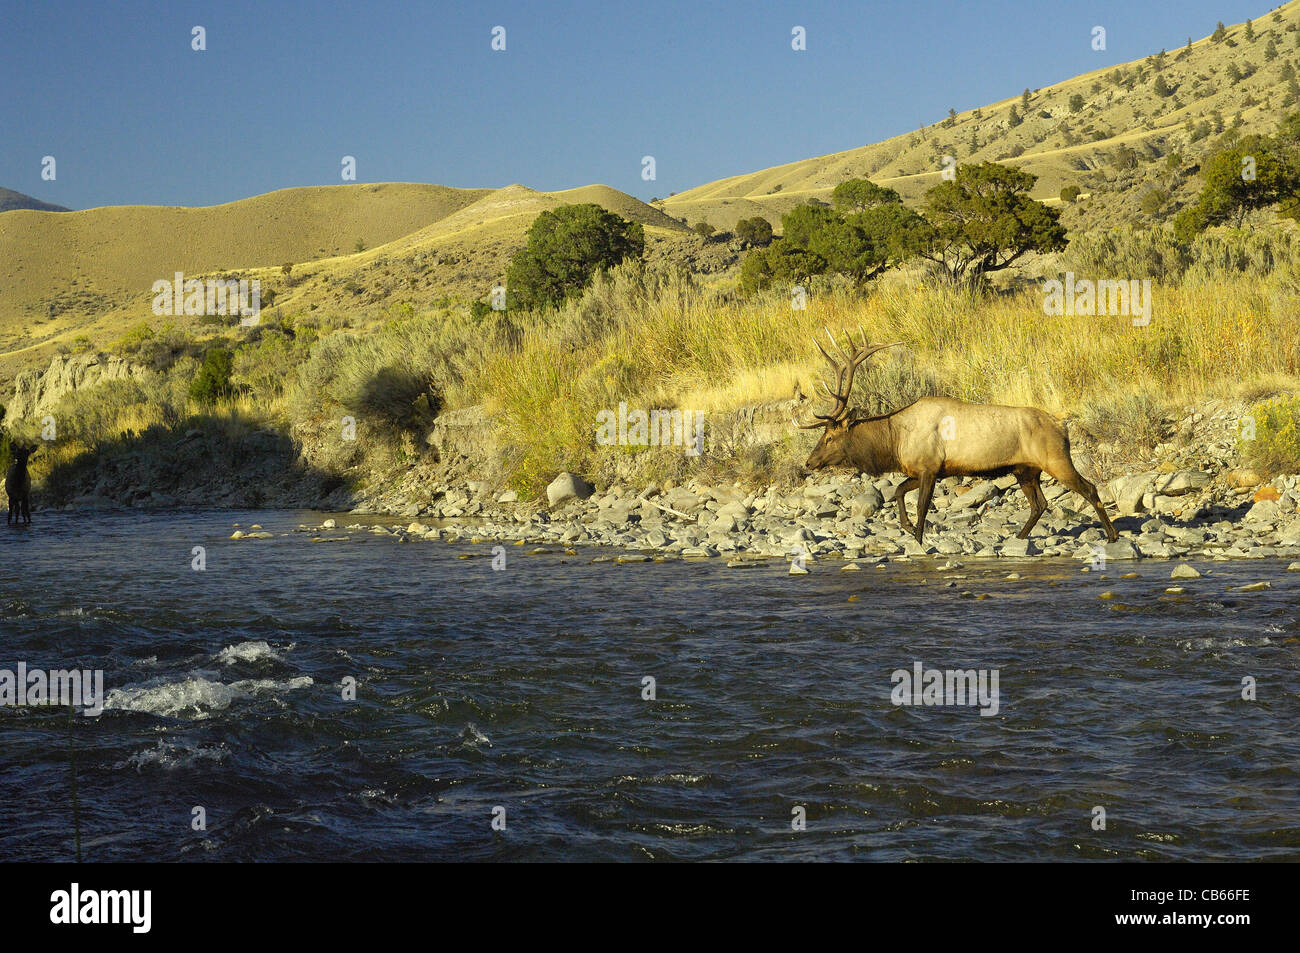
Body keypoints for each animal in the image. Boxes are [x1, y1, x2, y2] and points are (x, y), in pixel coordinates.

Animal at [795, 330, 1123, 543]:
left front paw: (917, 537)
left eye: (829, 437)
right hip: (1026, 469)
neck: (893, 441)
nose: (809, 463)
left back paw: (1112, 535)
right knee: (1040, 504)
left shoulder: (929, 468)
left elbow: (921, 505)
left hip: (1056, 459)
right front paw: (906, 527)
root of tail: (1062, 426)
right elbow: (899, 490)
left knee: (1090, 488)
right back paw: (1018, 538)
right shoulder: (924, 469)